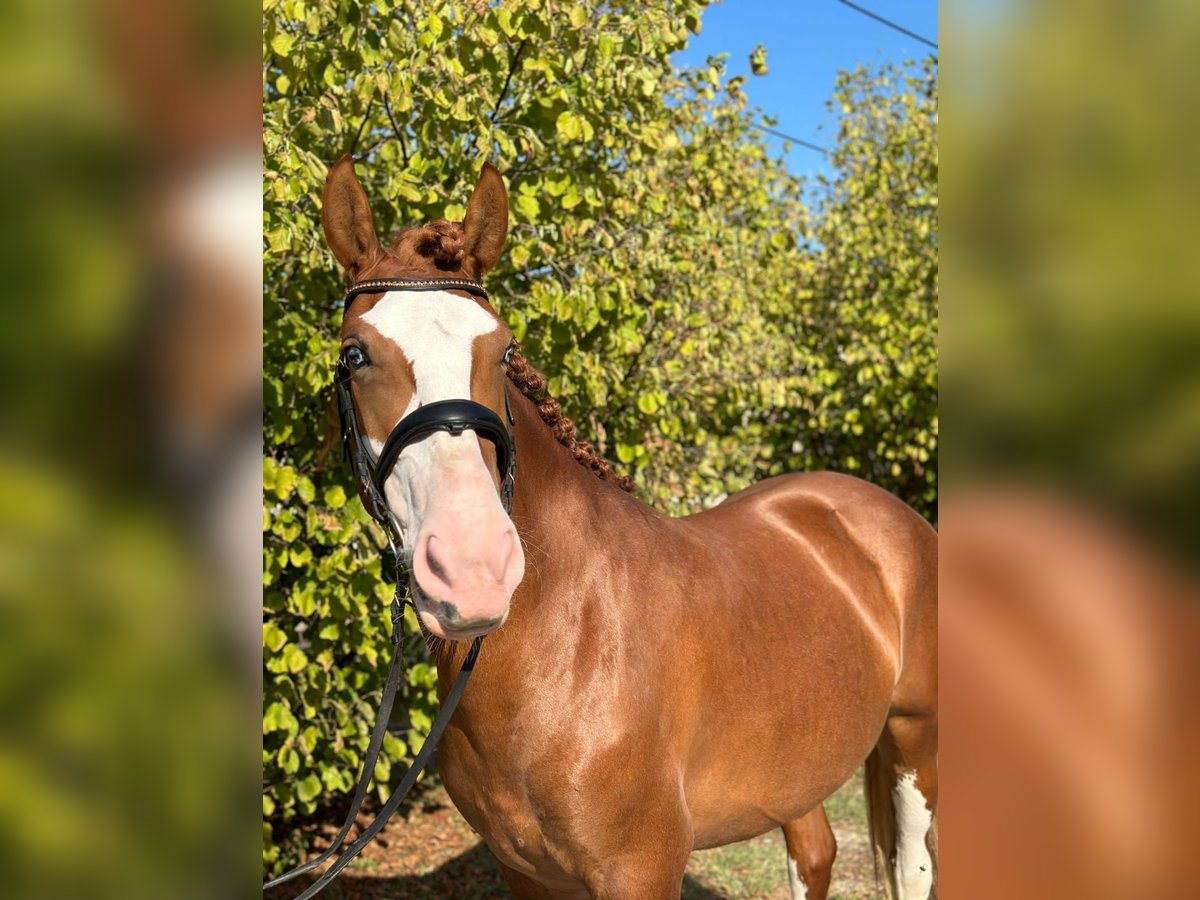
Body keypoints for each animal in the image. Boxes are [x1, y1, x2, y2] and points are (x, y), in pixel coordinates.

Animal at [319, 158, 936, 897]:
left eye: (504, 351)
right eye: (355, 356)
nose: (474, 569)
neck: (567, 639)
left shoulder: (641, 868)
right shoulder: (525, 872)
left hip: (915, 741)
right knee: (814, 852)